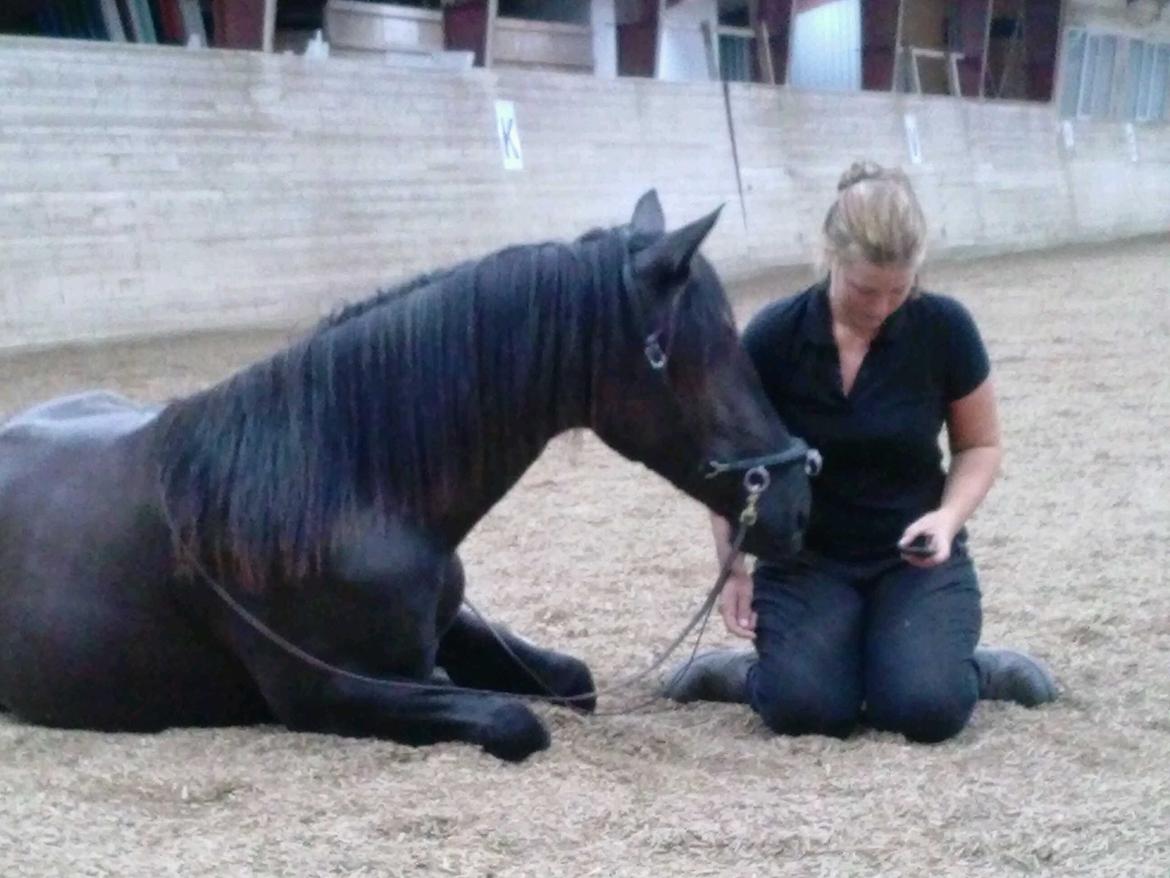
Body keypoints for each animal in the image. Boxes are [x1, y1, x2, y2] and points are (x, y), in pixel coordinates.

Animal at [0, 191, 809, 763]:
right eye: (710, 346)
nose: (797, 506)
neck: (345, 489)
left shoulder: (447, 630)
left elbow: (571, 678)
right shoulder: (331, 694)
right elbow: (513, 720)